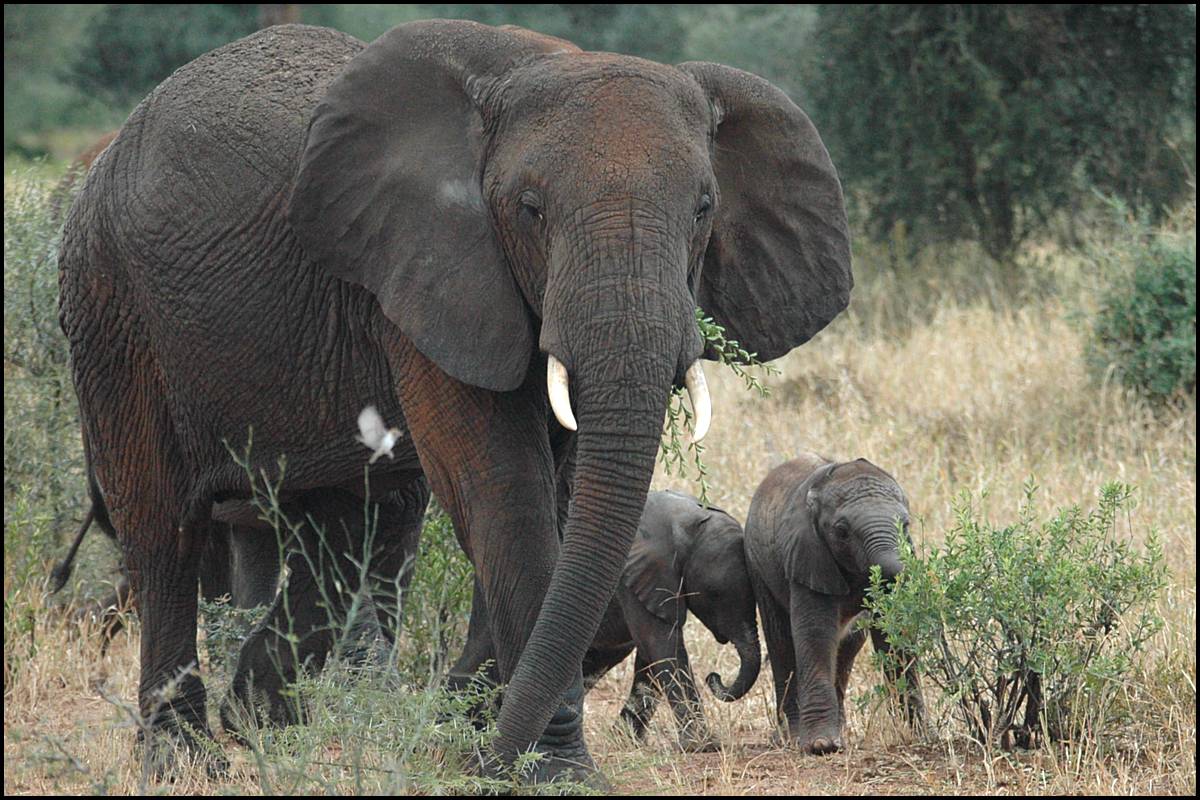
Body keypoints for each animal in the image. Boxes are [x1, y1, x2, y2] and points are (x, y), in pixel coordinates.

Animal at [58, 20, 854, 786]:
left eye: (703, 208)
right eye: (530, 210)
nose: (481, 752)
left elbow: (562, 498)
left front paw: (484, 746)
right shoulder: (431, 269)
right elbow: (502, 488)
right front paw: (549, 772)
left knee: (353, 533)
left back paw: (264, 730)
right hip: (110, 306)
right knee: (163, 529)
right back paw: (188, 760)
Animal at [739, 453, 926, 753]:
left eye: (906, 525)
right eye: (842, 531)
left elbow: (893, 634)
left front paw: (922, 736)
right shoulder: (807, 553)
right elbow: (816, 634)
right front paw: (821, 746)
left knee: (848, 644)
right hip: (756, 563)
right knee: (781, 642)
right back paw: (791, 737)